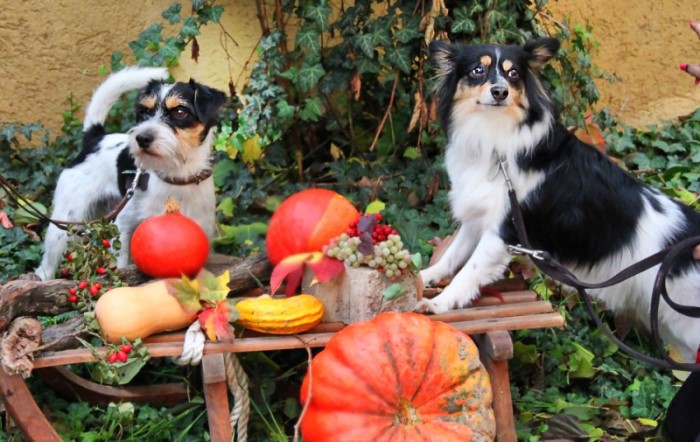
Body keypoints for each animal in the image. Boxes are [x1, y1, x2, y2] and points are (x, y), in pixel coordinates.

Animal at [35, 67, 227, 280]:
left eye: (179, 111)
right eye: (144, 112)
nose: (142, 138)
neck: (175, 176)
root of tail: (95, 138)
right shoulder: (123, 226)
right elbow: (121, 263)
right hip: (64, 223)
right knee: (46, 265)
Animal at [418, 37, 700, 366]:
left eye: (514, 74)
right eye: (478, 70)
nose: (500, 91)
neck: (496, 140)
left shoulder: (502, 233)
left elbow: (468, 272)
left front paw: (440, 303)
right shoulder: (477, 219)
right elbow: (451, 257)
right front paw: (424, 276)